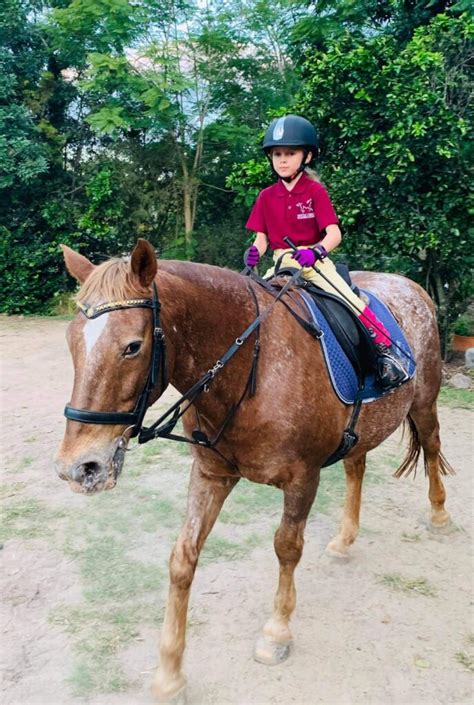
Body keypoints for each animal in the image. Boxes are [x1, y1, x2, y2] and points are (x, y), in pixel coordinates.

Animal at [56, 239, 456, 700]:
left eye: (133, 346)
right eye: (71, 341)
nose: (79, 467)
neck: (252, 369)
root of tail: (413, 287)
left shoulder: (303, 478)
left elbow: (287, 548)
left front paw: (276, 633)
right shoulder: (211, 474)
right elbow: (182, 559)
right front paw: (170, 672)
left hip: (424, 402)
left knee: (432, 447)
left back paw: (440, 515)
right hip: (362, 429)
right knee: (357, 467)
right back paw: (344, 540)